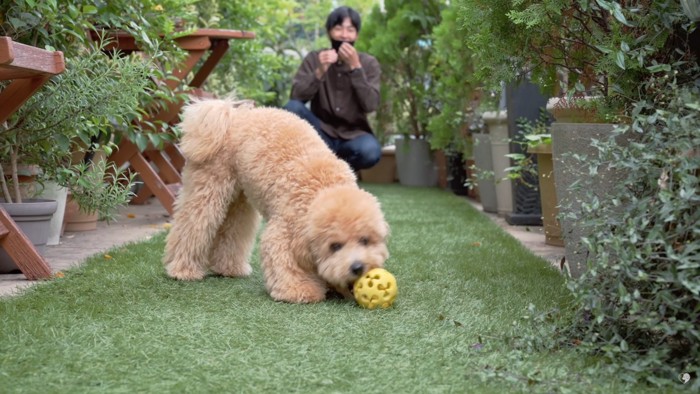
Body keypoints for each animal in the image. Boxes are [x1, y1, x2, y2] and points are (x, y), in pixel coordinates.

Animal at [165, 98, 394, 302]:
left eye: (365, 240)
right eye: (335, 246)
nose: (358, 267)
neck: (324, 186)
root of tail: (233, 116)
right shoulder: (285, 230)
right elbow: (284, 261)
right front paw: (300, 290)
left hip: (240, 200)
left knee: (232, 230)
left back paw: (229, 268)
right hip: (207, 186)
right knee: (192, 225)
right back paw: (182, 270)